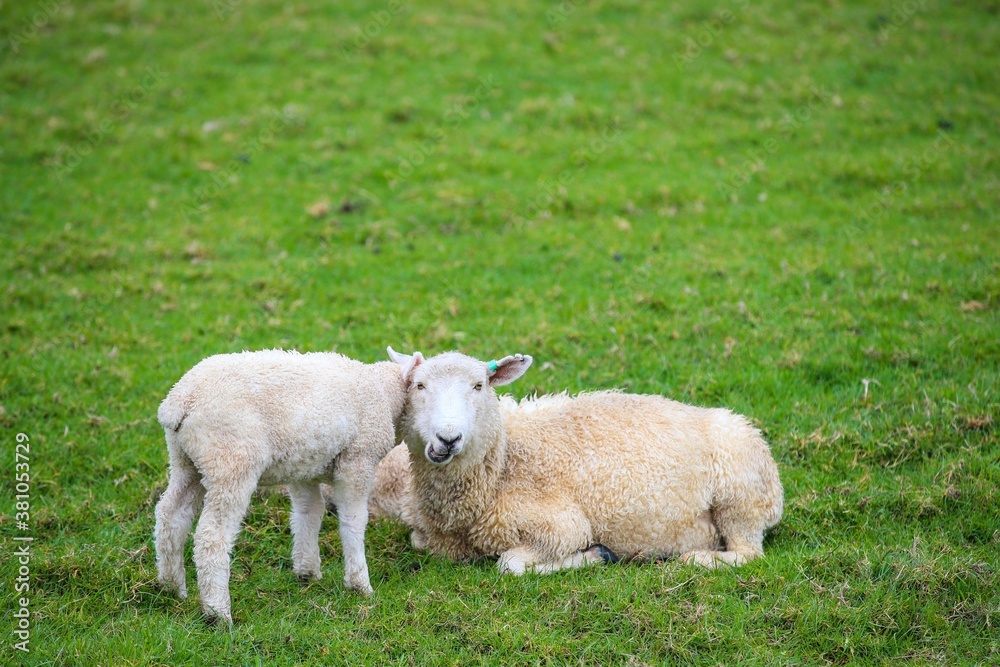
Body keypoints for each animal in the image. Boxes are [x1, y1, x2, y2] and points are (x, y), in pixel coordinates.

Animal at [153, 349, 407, 623]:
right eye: (421, 385)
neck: (382, 391)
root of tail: (182, 400)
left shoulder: (304, 468)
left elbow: (308, 513)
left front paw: (307, 572)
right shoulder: (357, 461)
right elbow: (353, 520)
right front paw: (360, 584)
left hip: (186, 462)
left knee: (170, 515)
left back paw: (171, 587)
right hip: (231, 461)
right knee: (212, 535)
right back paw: (218, 611)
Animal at [377, 348, 783, 575]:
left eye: (479, 386)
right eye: (418, 386)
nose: (448, 438)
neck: (503, 464)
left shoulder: (561, 526)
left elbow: (510, 565)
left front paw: (597, 555)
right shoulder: (432, 536)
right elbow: (418, 542)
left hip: (741, 496)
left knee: (749, 553)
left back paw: (697, 559)